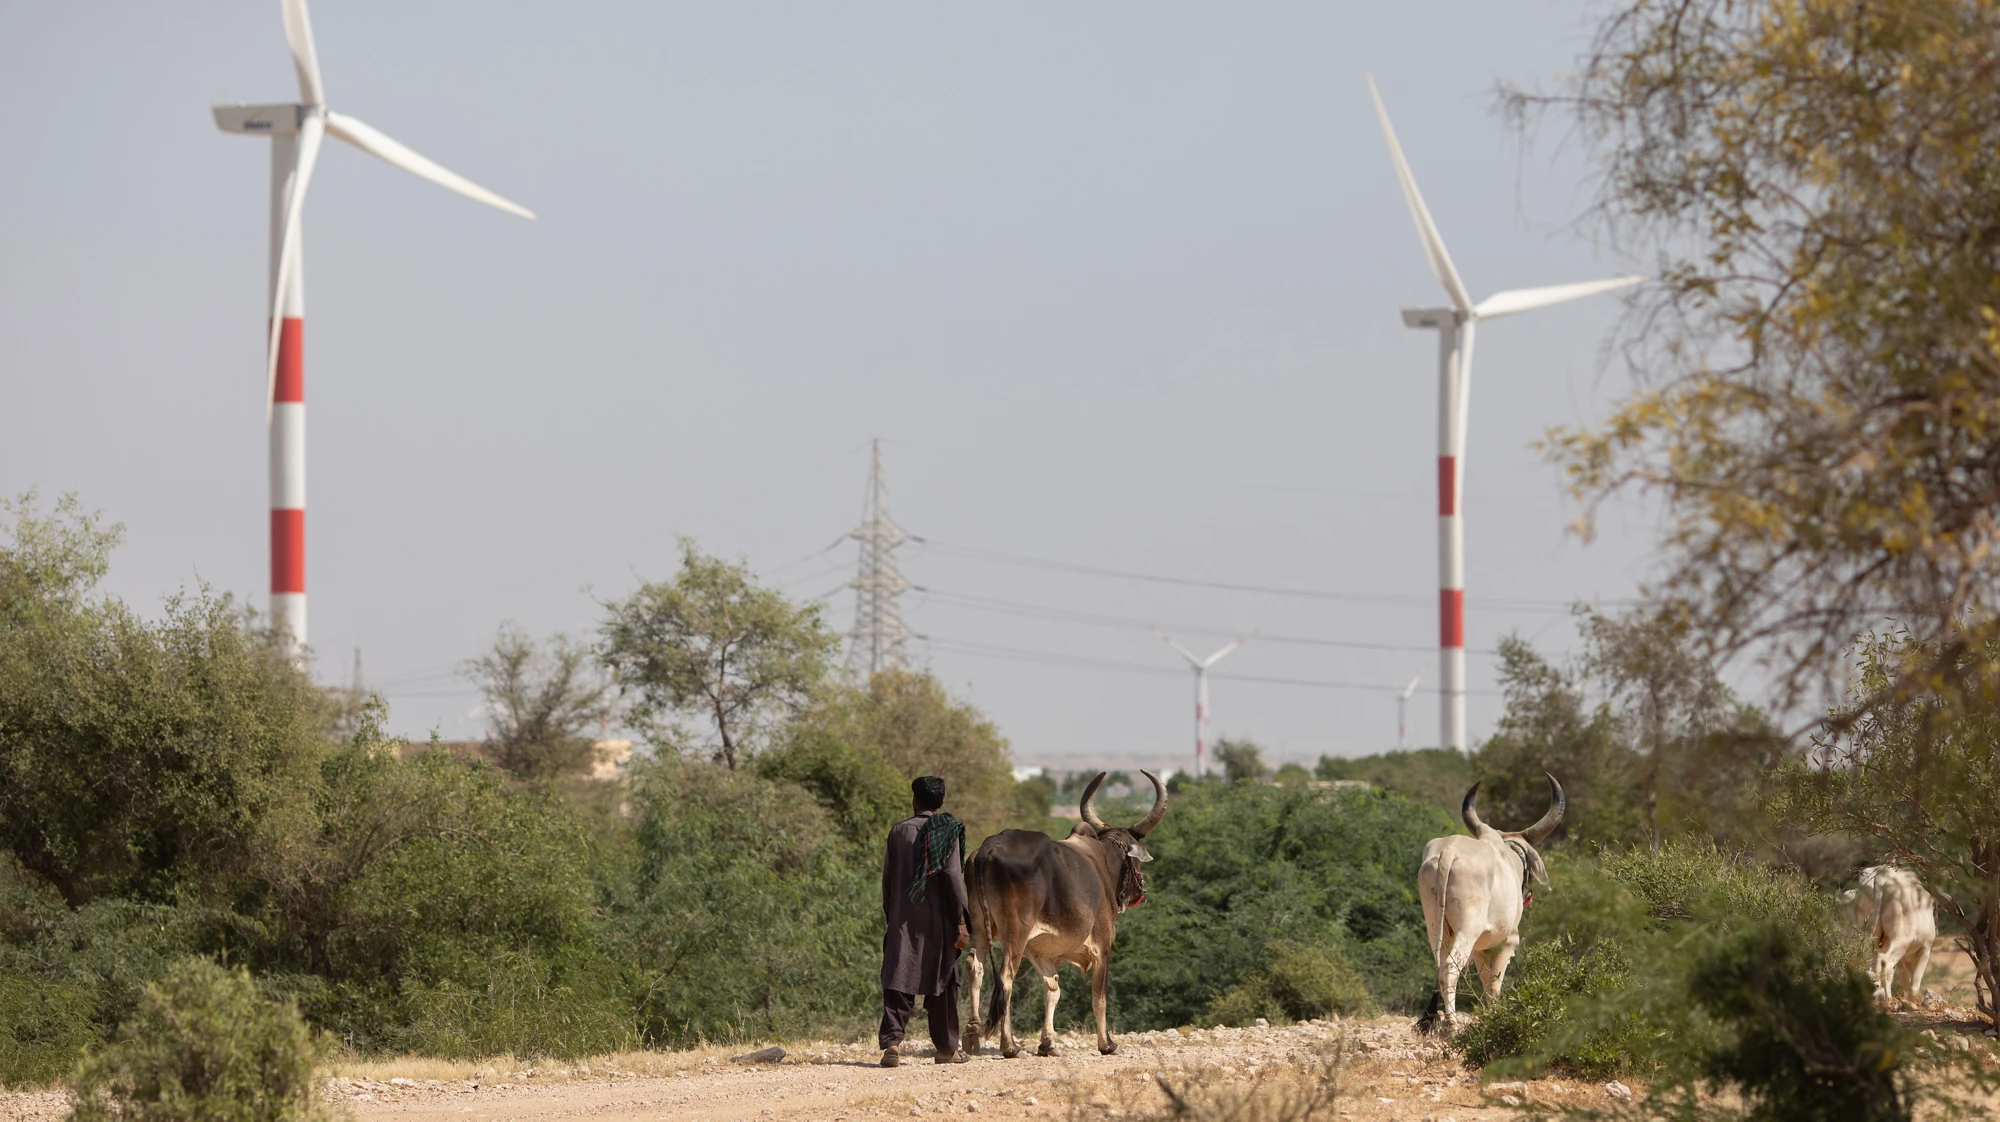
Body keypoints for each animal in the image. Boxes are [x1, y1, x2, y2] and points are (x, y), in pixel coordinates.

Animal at [960, 768, 1168, 1056]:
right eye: (1136, 861)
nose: (1141, 892)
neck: (1103, 861)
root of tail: (991, 846)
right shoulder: (1102, 945)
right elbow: (1099, 996)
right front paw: (1107, 1044)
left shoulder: (1045, 952)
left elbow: (1052, 990)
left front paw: (1047, 1043)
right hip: (1016, 933)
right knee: (1006, 977)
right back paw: (1009, 1045)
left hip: (980, 927)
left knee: (975, 967)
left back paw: (972, 1035)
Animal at [1416, 776, 1568, 1032]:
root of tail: (1449, 852)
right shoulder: (1506, 943)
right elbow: (1494, 987)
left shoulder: (1480, 949)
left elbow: (1486, 983)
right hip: (1468, 928)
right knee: (1450, 967)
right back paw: (1452, 1023)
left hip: (1434, 924)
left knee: (1439, 965)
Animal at [1840, 860, 1936, 1000]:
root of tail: (1883, 873)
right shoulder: (1925, 949)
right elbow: (1914, 982)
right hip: (1901, 939)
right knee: (1886, 962)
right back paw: (1888, 998)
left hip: (1870, 936)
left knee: (1872, 965)